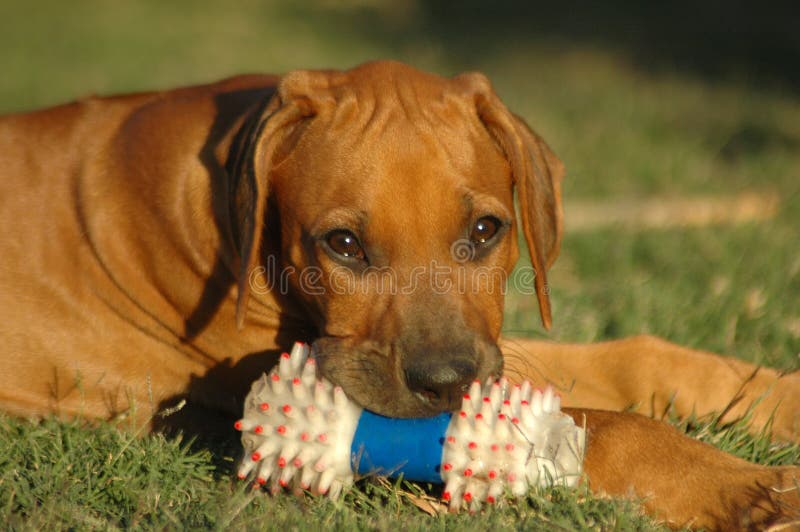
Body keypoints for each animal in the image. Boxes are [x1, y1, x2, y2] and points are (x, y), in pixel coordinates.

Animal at [0, 61, 796, 528]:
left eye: (485, 230)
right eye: (343, 245)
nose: (443, 384)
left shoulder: (491, 348)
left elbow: (636, 359)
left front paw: (778, 397)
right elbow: (607, 424)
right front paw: (746, 488)